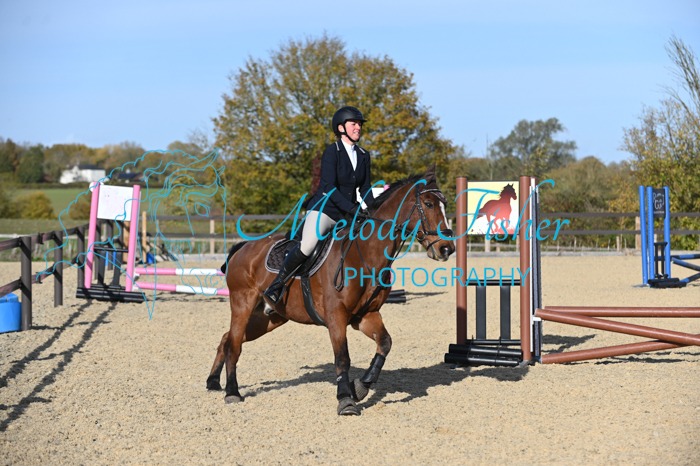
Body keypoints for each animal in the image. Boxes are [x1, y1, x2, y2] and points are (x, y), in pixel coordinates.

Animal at [206, 166, 455, 415]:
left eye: (444, 204)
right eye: (428, 204)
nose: (447, 249)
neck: (365, 254)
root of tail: (243, 247)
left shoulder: (366, 315)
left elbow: (385, 343)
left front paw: (360, 387)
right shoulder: (336, 316)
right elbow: (342, 357)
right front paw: (345, 400)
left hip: (270, 317)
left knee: (229, 338)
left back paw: (213, 382)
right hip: (243, 303)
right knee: (234, 345)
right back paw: (232, 392)